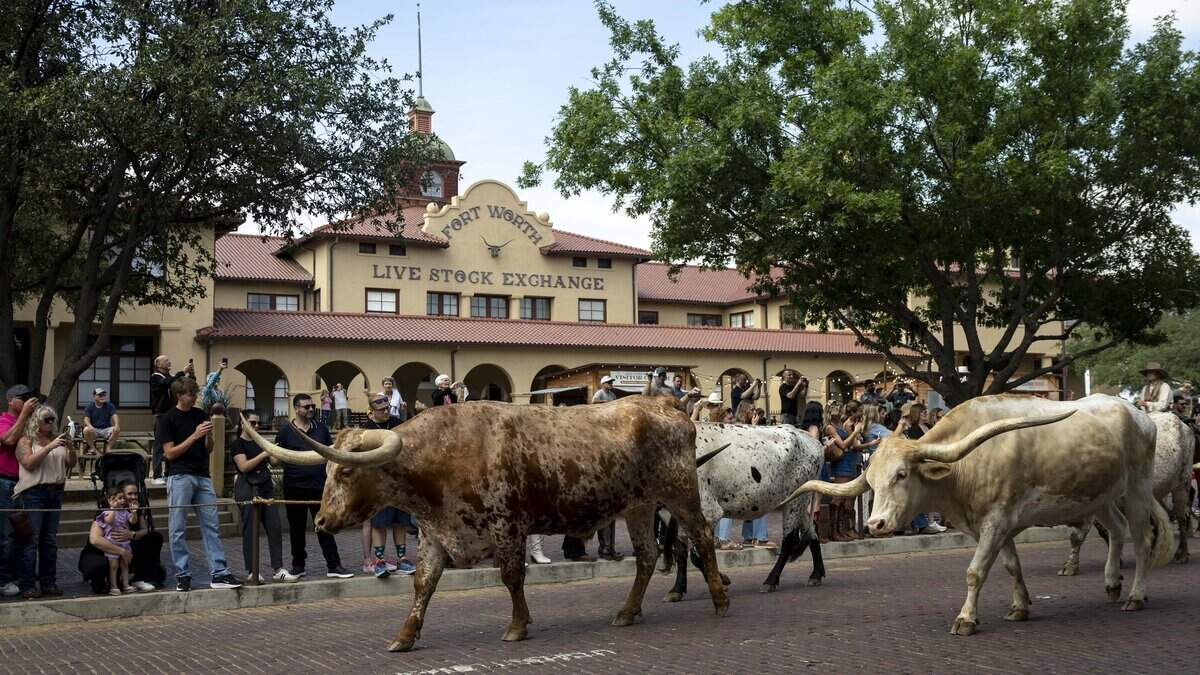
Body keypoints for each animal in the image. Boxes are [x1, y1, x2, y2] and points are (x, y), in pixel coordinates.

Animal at [242, 395, 731, 653]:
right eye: (324, 473)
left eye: (345, 471)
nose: (322, 520)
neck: (441, 456)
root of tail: (662, 403)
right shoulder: (434, 532)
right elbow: (422, 583)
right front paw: (405, 636)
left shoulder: (507, 523)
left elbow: (512, 576)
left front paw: (517, 626)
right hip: (638, 507)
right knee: (648, 556)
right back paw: (627, 612)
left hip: (680, 493)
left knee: (702, 537)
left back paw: (720, 600)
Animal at [661, 422, 826, 602]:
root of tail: (811, 439)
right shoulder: (674, 516)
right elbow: (681, 552)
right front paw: (677, 589)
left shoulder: (709, 513)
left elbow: (698, 555)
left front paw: (721, 580)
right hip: (799, 502)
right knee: (812, 532)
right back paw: (816, 574)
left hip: (796, 501)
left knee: (789, 540)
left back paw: (771, 581)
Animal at [779, 394, 1176, 635]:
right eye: (871, 480)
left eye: (901, 475)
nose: (875, 524)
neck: (964, 468)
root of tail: (1138, 413)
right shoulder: (996, 526)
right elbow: (1011, 566)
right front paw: (1020, 607)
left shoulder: (996, 523)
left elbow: (975, 572)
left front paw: (966, 618)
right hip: (1100, 497)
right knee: (1118, 530)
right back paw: (1111, 584)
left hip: (1138, 486)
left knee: (1142, 538)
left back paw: (1135, 596)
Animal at [1058, 411, 1195, 574]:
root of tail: (1181, 422)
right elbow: (1106, 532)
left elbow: (1077, 536)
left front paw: (1070, 566)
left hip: (1182, 484)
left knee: (1182, 518)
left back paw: (1182, 554)